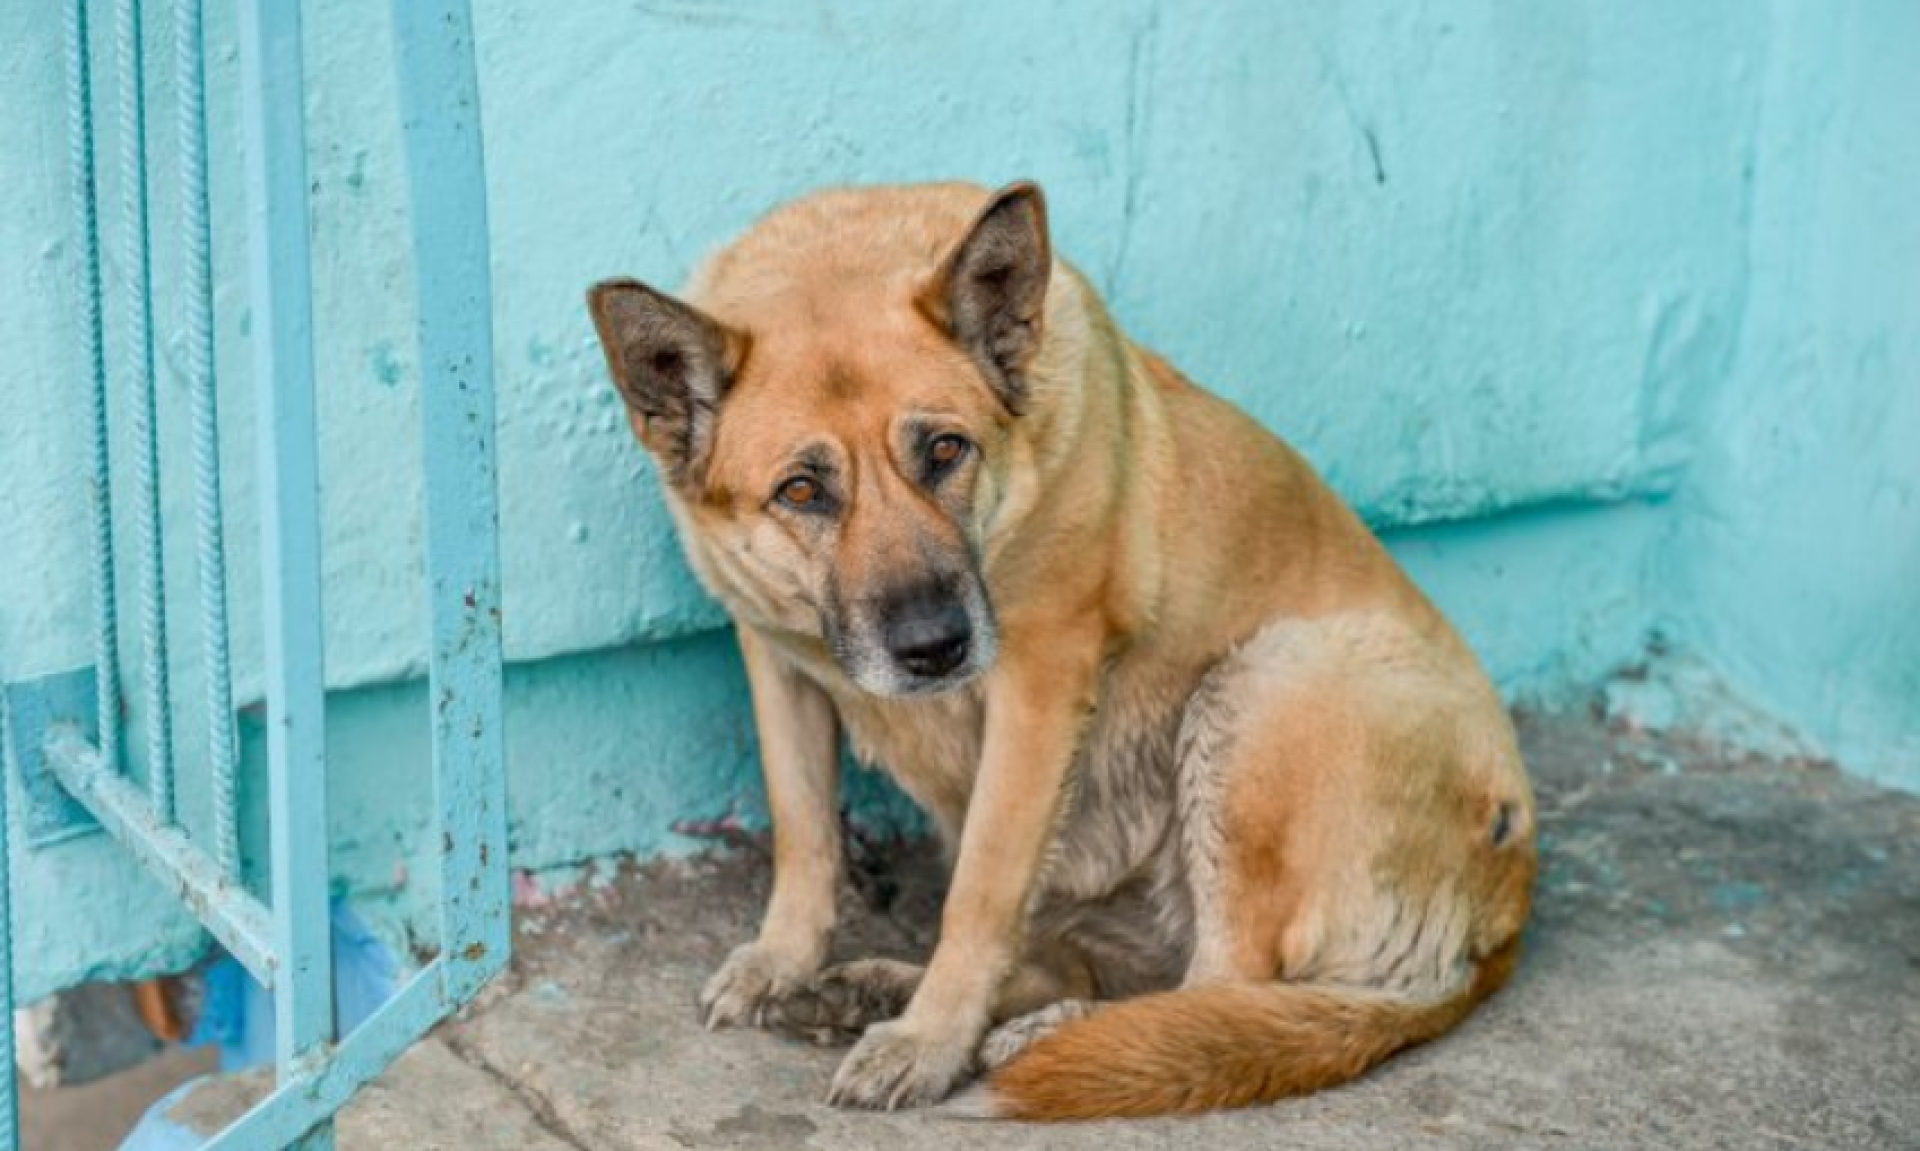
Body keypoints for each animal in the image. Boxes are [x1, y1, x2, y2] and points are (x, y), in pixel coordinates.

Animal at [583, 184, 1528, 1122]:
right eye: (803, 490)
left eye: (945, 449)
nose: (933, 648)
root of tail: (1509, 902)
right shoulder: (777, 661)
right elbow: (804, 831)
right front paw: (785, 959)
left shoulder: (1035, 690)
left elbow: (978, 894)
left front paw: (930, 1041)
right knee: (1095, 968)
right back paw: (881, 990)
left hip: (1259, 685)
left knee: (1218, 990)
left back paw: (1033, 1033)